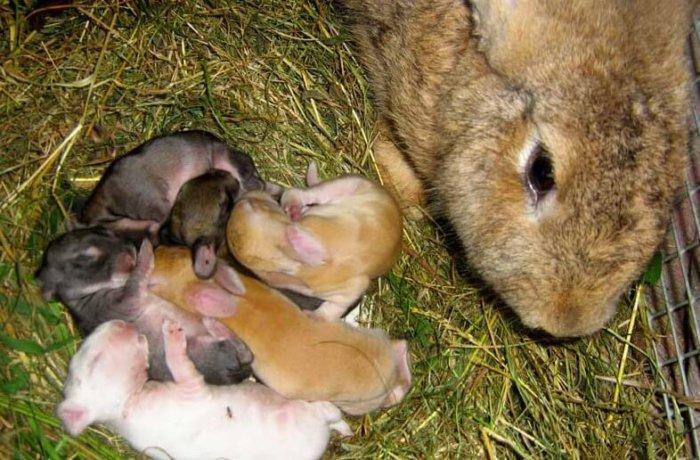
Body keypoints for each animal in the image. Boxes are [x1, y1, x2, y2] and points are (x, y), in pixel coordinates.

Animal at [58, 320, 350, 460]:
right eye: (93, 360)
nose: (118, 322)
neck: (129, 403)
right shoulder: (191, 387)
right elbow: (179, 361)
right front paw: (172, 333)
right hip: (305, 409)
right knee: (326, 410)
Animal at [228, 164, 400, 320]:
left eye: (254, 206)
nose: (246, 195)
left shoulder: (351, 288)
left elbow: (333, 308)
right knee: (306, 194)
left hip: (351, 184)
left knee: (306, 193)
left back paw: (295, 208)